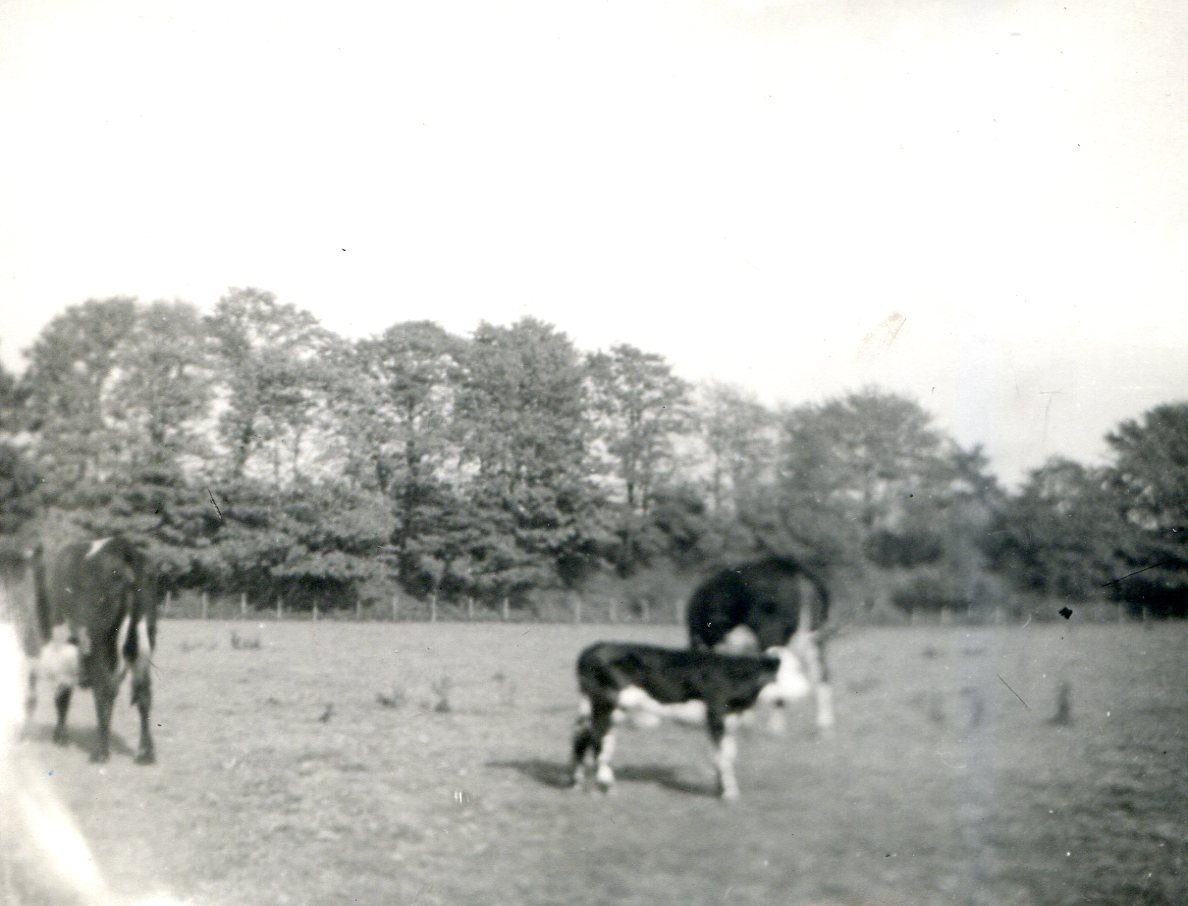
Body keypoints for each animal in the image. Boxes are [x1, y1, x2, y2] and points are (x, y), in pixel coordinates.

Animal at [20, 539, 160, 764]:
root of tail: (122, 545)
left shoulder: (34, 648)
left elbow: (36, 694)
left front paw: (30, 735)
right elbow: (62, 695)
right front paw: (59, 736)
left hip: (95, 642)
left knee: (104, 688)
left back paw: (100, 753)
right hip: (142, 643)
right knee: (143, 693)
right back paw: (145, 754)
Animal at [570, 636, 812, 802]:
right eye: (795, 669)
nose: (806, 687)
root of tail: (593, 648)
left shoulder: (730, 721)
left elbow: (728, 755)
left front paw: (724, 788)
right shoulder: (716, 715)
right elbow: (721, 757)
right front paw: (727, 794)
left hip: (602, 708)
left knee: (584, 738)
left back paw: (579, 783)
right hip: (604, 703)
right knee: (597, 739)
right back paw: (605, 785)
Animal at [689, 553, 836, 736]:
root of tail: (796, 571)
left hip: (772, 637)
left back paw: (775, 728)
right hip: (814, 640)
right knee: (822, 676)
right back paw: (824, 726)